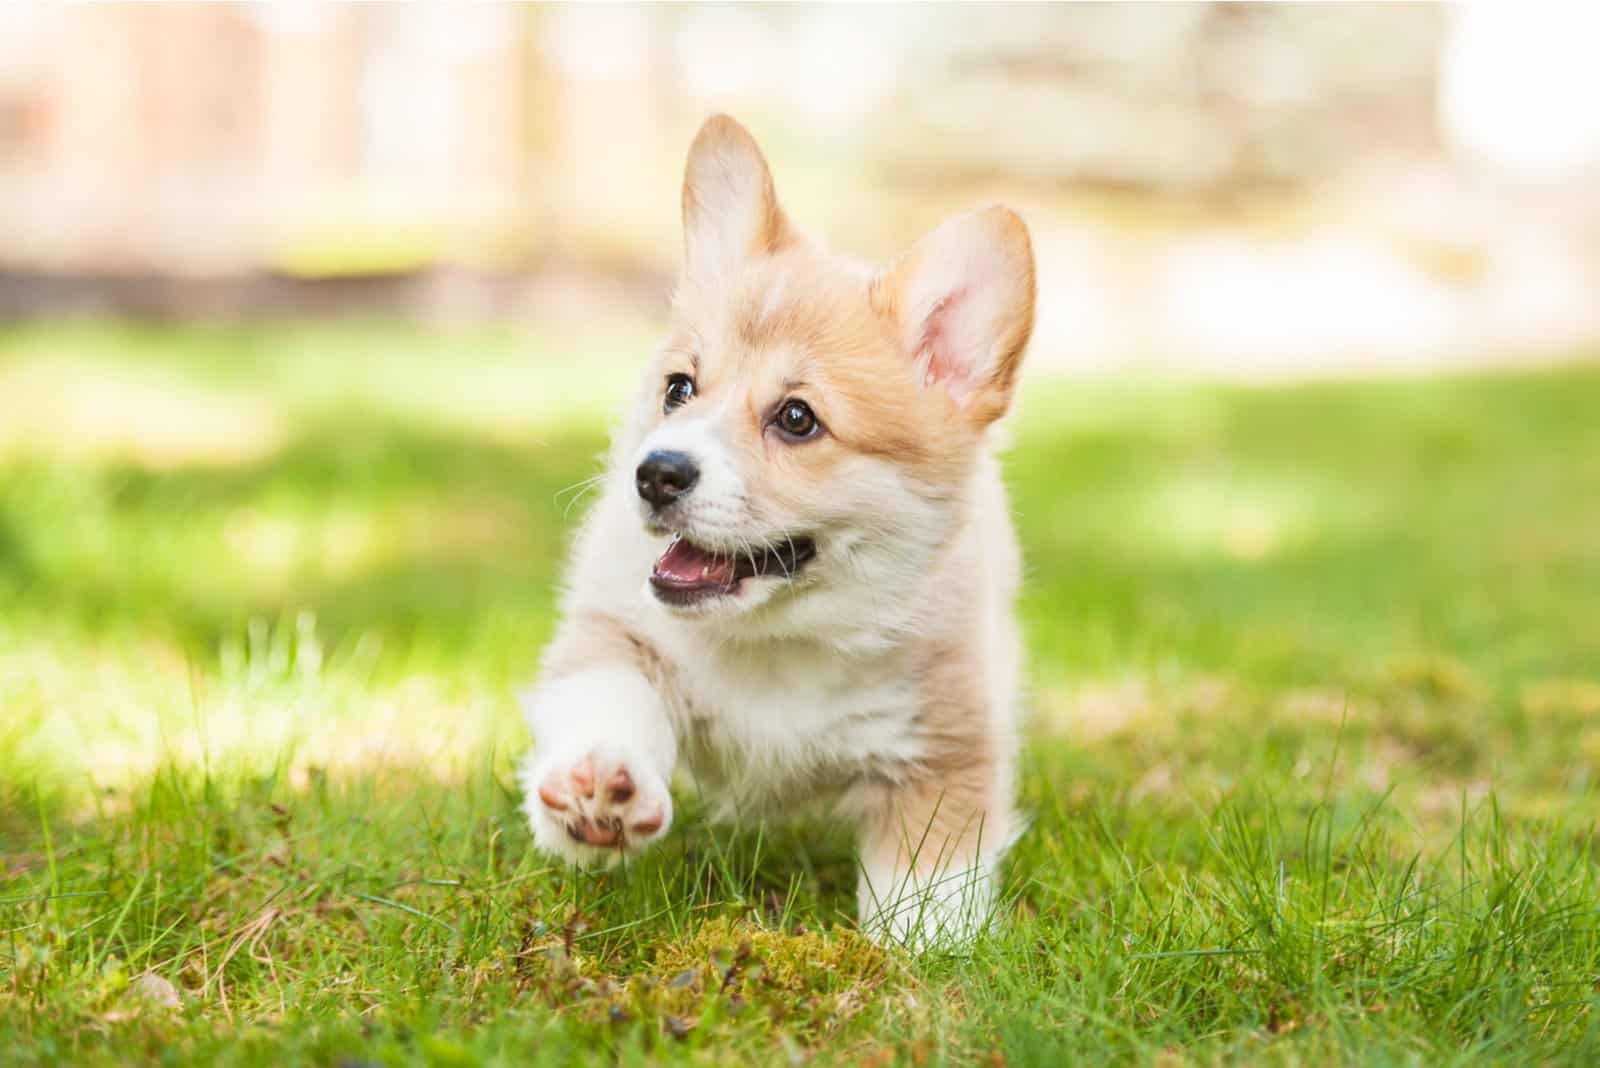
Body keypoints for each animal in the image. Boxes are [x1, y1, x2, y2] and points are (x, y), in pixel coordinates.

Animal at [518, 116, 1030, 946]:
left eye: (797, 418)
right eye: (679, 389)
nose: (656, 473)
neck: (780, 638)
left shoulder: (945, 739)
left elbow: (929, 879)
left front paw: (917, 953)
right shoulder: (616, 631)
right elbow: (608, 696)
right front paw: (598, 787)